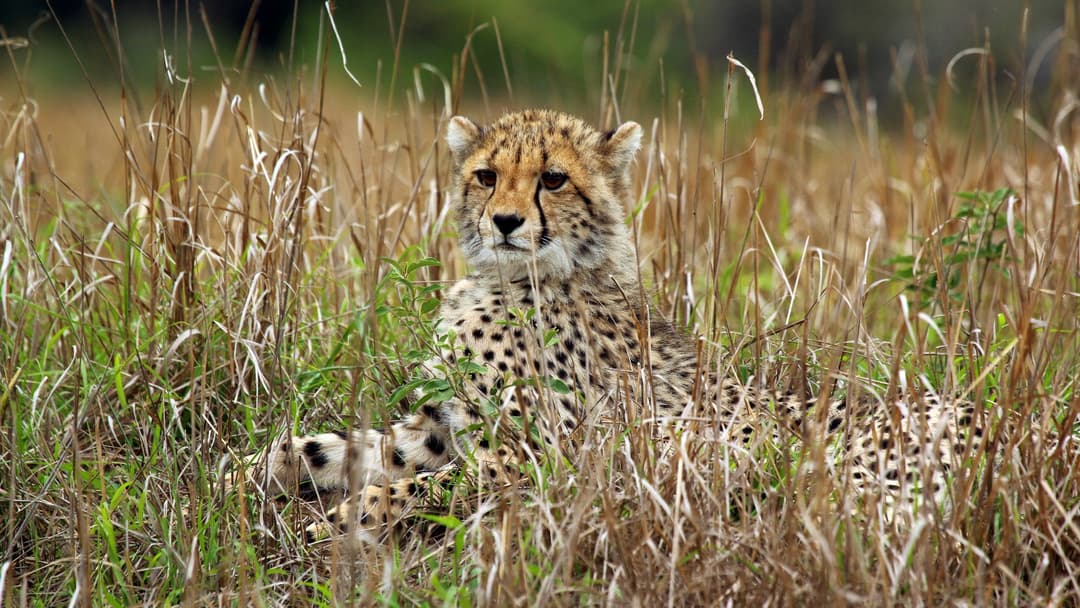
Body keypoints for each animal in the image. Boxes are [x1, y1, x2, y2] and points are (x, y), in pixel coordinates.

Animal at [243, 109, 988, 541]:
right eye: (486, 175)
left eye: (553, 180)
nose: (505, 222)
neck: (516, 278)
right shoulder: (434, 427)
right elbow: (327, 446)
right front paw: (241, 477)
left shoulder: (542, 457)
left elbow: (413, 489)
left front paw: (345, 519)